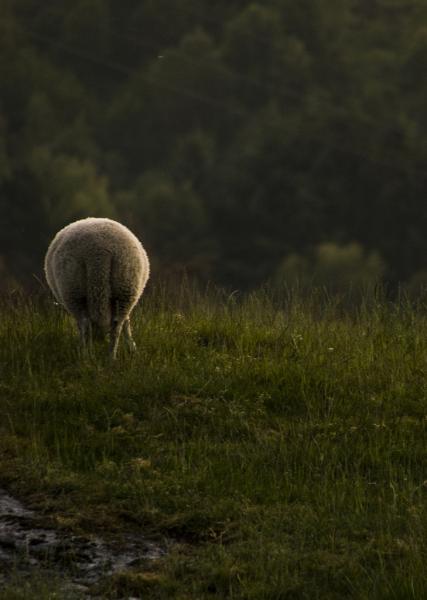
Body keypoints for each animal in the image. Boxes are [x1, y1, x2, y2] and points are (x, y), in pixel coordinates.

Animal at [45, 216, 150, 356]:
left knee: (85, 323)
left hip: (73, 290)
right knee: (116, 325)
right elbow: (126, 323)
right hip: (125, 287)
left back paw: (85, 354)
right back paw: (111, 357)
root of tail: (99, 251)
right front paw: (132, 348)